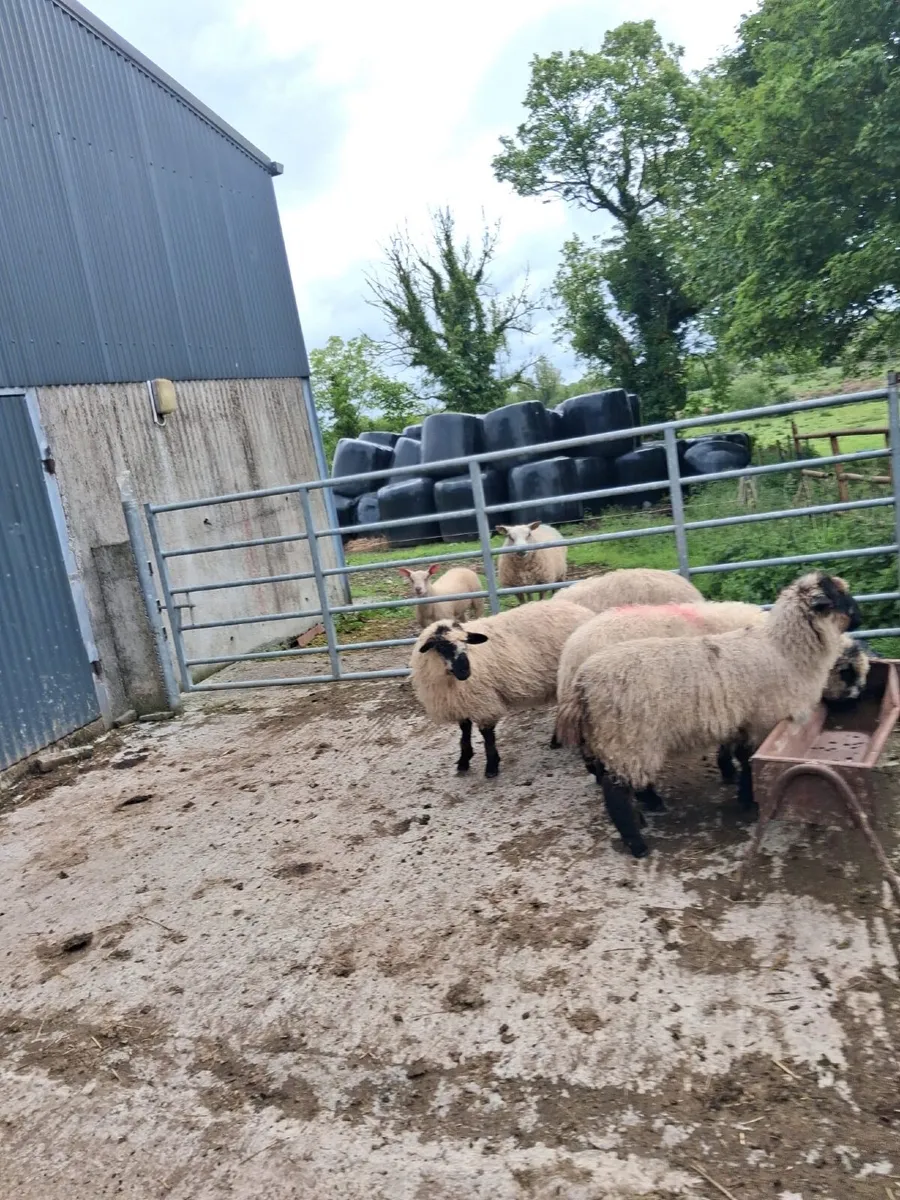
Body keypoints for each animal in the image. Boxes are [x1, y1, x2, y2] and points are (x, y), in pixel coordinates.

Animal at [410, 600, 594, 777]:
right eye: (441, 647)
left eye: (466, 643)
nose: (465, 671)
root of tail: (584, 612)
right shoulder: (460, 701)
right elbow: (465, 731)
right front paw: (464, 761)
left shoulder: (483, 700)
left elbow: (487, 735)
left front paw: (492, 766)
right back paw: (557, 740)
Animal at [558, 572, 862, 857]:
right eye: (839, 596)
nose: (860, 617)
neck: (785, 651)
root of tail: (581, 681)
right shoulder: (762, 722)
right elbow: (749, 763)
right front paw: (749, 800)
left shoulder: (740, 720)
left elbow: (736, 754)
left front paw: (735, 783)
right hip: (628, 739)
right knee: (616, 794)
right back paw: (638, 842)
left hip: (612, 739)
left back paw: (649, 807)